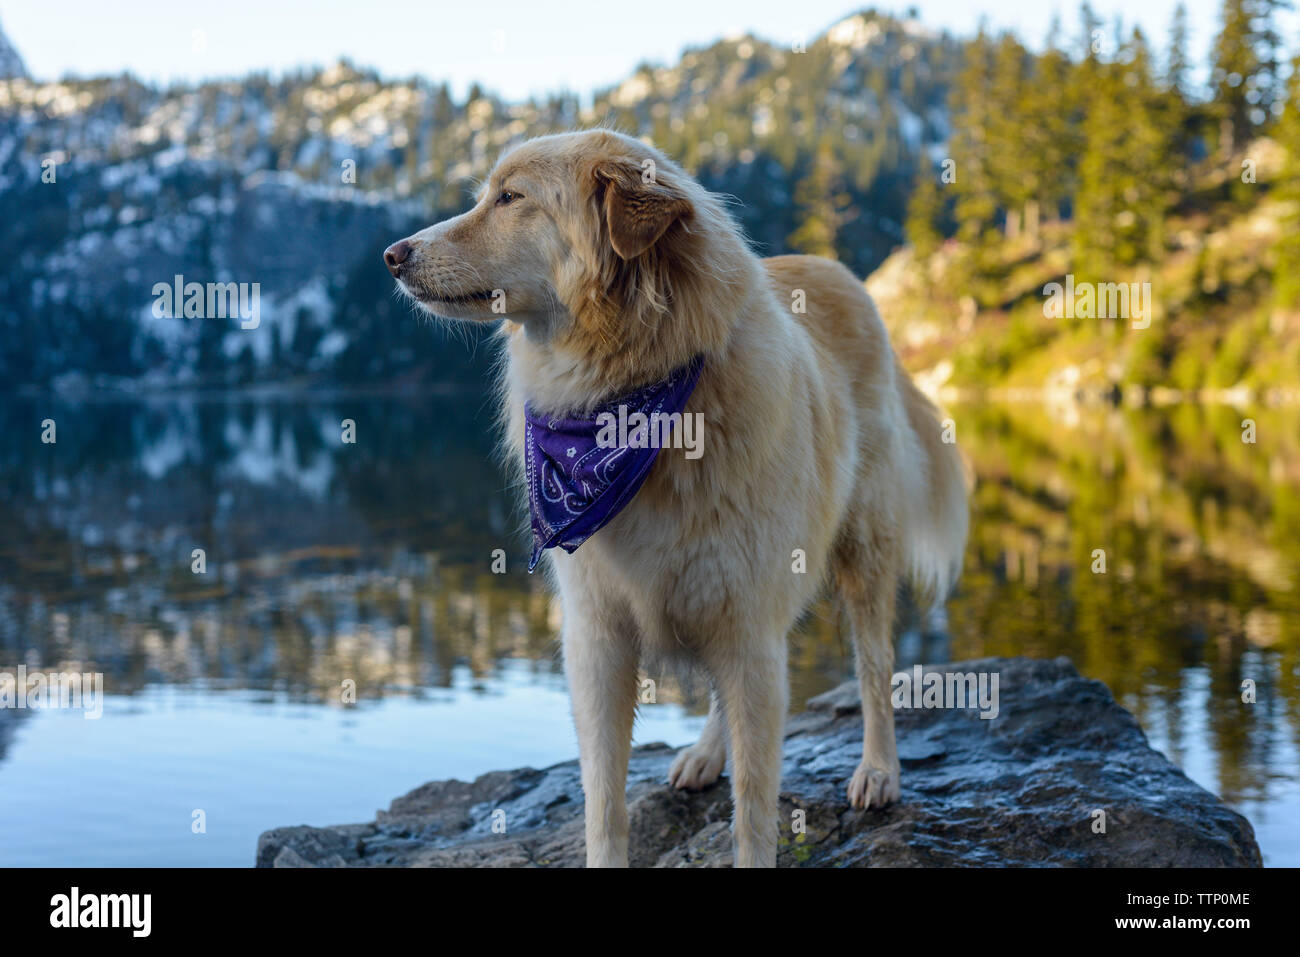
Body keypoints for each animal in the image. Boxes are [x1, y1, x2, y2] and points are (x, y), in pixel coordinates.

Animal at [384, 127, 967, 868]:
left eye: (511, 197)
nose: (392, 255)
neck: (632, 395)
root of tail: (834, 270)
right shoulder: (600, 637)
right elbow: (605, 803)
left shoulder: (749, 623)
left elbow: (755, 810)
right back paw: (705, 754)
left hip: (862, 548)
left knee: (874, 662)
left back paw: (879, 770)